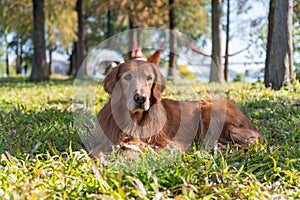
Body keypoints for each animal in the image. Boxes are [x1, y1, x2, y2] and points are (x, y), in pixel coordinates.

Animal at [92, 52, 264, 155]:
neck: (133, 120)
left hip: (209, 107)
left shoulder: (171, 143)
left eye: (149, 78)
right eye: (127, 77)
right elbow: (95, 151)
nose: (140, 98)